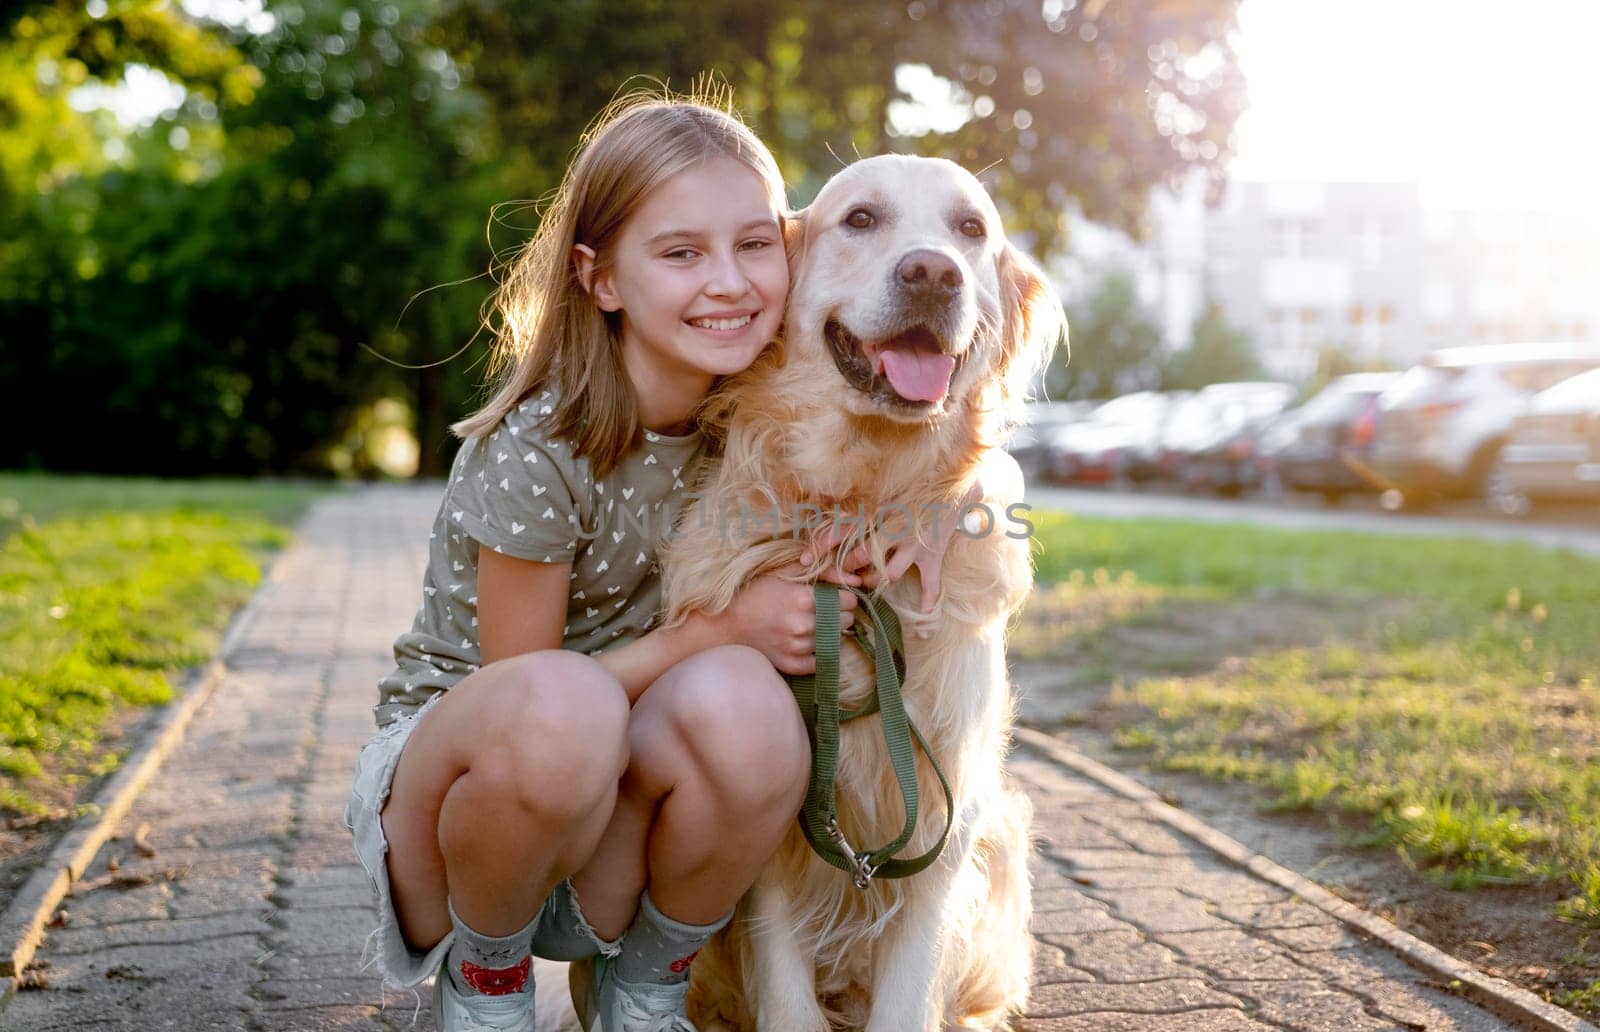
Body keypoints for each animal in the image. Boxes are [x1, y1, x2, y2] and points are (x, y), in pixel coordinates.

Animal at [656, 155, 1068, 1030]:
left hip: (1004, 834)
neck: (862, 511)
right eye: (860, 219)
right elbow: (785, 994)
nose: (933, 273)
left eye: (971, 229)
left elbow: (910, 991)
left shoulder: (947, 810)